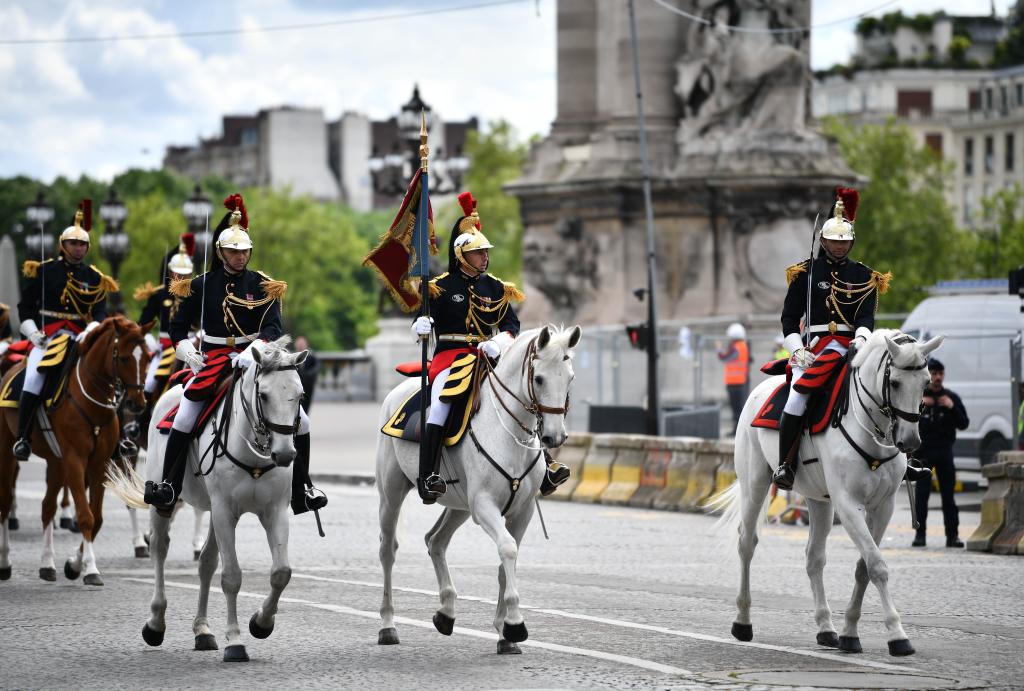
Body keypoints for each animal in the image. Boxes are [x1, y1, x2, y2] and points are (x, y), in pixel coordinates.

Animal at [0, 317, 149, 585]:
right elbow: (85, 515)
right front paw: (90, 569)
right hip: (8, 451)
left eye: (148, 357)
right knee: (5, 502)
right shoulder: (76, 460)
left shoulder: (98, 463)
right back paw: (5, 563)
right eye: (123, 358)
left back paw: (47, 564)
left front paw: (73, 564)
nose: (137, 404)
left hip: (56, 462)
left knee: (47, 507)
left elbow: (96, 517)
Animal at [110, 337, 307, 663]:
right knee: (160, 549)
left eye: (300, 395)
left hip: (216, 513)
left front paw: (261, 623)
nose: (285, 454)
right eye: (263, 395)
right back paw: (155, 623)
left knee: (206, 563)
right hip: (166, 503)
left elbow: (281, 572)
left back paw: (202, 631)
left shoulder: (273, 511)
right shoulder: (225, 510)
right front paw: (236, 641)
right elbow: (231, 577)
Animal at [376, 323, 585, 655]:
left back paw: (446, 612)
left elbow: (507, 559)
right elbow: (507, 549)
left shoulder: (522, 510)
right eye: (539, 378)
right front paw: (515, 623)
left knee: (436, 540)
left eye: (571, 376)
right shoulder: (485, 505)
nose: (554, 437)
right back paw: (387, 625)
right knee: (387, 550)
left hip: (459, 504)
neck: (510, 434)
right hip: (391, 493)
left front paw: (505, 632)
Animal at [712, 331, 942, 655]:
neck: (869, 427)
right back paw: (742, 621)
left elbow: (864, 567)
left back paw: (826, 628)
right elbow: (877, 566)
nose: (909, 442)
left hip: (819, 501)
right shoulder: (848, 504)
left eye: (926, 382)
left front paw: (849, 632)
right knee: (747, 543)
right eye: (895, 382)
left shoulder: (882, 507)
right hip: (755, 483)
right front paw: (897, 635)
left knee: (814, 558)